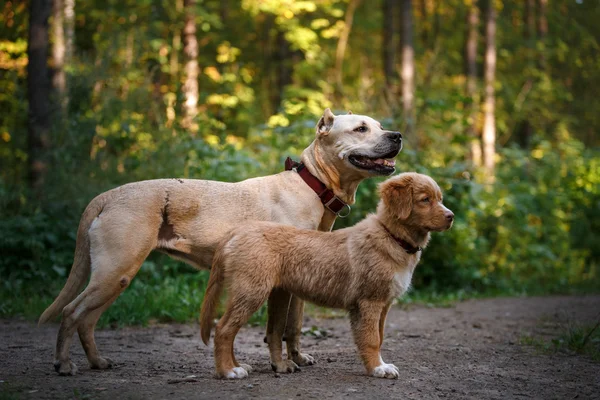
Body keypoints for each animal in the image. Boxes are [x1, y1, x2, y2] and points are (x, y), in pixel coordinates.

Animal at [38, 108, 404, 376]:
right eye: (360, 129)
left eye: (380, 126)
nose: (397, 135)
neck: (312, 185)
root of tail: (106, 196)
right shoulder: (280, 284)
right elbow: (275, 329)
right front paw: (281, 364)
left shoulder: (300, 279)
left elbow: (294, 326)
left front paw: (297, 358)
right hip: (114, 272)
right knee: (71, 313)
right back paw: (64, 364)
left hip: (114, 278)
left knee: (86, 320)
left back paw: (97, 362)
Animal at [199, 172, 452, 378]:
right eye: (425, 200)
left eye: (439, 198)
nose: (451, 216)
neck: (392, 236)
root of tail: (237, 232)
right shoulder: (369, 302)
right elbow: (371, 339)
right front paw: (378, 369)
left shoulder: (384, 304)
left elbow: (379, 337)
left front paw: (379, 365)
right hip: (251, 291)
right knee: (223, 330)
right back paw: (228, 371)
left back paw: (238, 365)